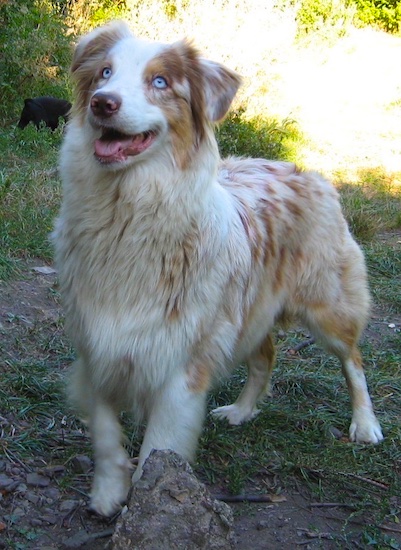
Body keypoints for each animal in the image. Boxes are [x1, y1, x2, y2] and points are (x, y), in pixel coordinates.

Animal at [53, 20, 382, 516]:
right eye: (105, 73)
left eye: (160, 82)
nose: (103, 102)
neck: (126, 212)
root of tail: (305, 170)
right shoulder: (99, 349)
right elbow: (108, 437)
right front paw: (108, 494)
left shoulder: (182, 365)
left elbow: (158, 448)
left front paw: (152, 509)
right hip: (247, 310)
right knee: (266, 356)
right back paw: (242, 411)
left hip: (327, 305)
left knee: (354, 361)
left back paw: (365, 424)